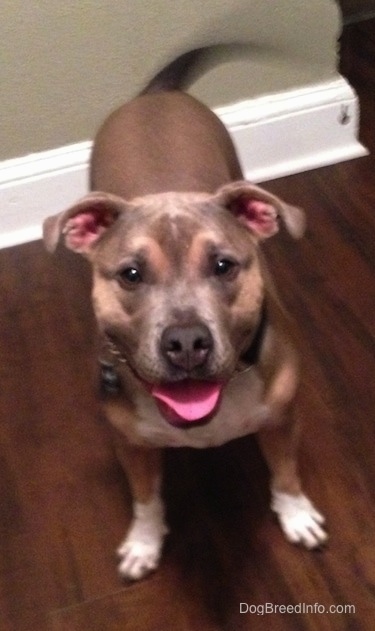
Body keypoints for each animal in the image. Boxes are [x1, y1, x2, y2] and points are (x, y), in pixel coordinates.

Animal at [42, 48, 328, 584]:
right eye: (131, 274)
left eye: (224, 266)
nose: (187, 341)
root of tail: (156, 95)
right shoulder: (131, 445)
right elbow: (145, 499)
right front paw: (143, 542)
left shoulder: (283, 419)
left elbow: (285, 472)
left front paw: (296, 514)